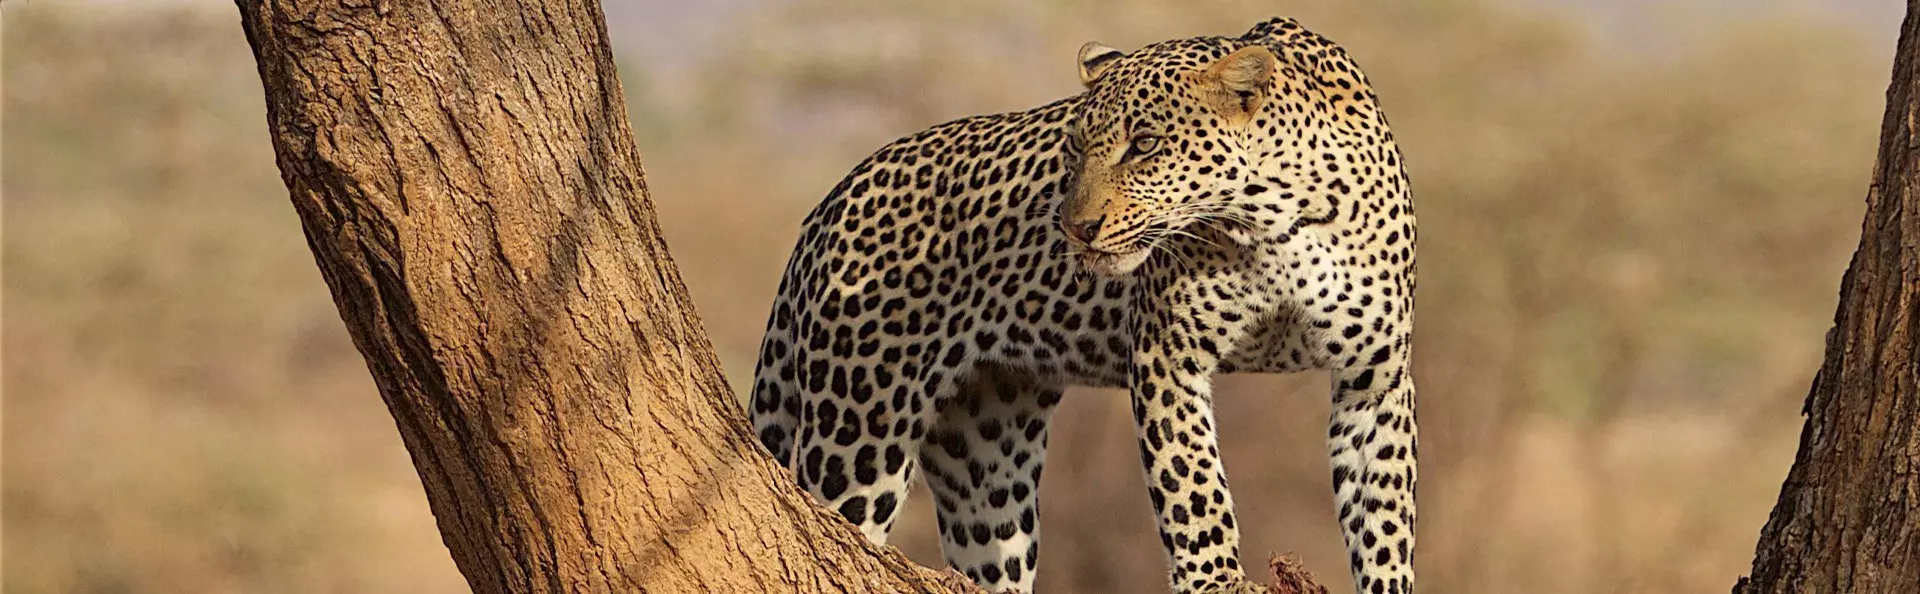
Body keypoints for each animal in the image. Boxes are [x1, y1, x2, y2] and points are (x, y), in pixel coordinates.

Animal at [748, 17, 1417, 594]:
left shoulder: (1375, 377)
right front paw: (1217, 580)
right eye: (1073, 150)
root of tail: (830, 201)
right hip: (860, 430)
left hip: (986, 456)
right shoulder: (1166, 358)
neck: (1272, 220)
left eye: (1144, 144)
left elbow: (1386, 514)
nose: (1076, 228)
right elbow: (1193, 485)